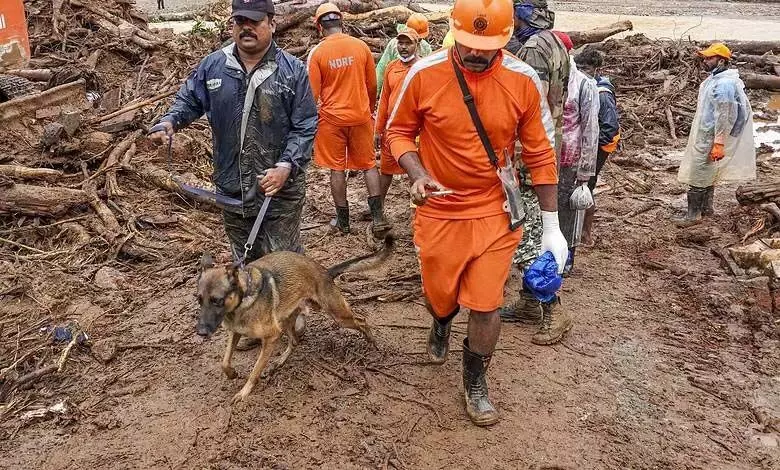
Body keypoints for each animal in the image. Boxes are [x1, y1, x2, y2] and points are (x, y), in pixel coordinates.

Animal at [193, 237, 394, 402]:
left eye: (217, 300)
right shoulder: (235, 332)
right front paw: (232, 373)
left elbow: (255, 370)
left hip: (338, 315)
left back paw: (373, 342)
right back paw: (280, 361)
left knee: (362, 320)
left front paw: (244, 392)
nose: (201, 332)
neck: (243, 299)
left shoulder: (271, 336)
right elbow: (224, 362)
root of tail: (324, 272)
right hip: (288, 319)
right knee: (295, 341)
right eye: (199, 299)